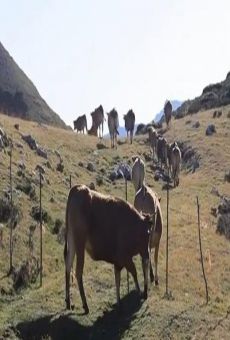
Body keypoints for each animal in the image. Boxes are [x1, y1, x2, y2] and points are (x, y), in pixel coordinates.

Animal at [63, 186, 154, 314]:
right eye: (148, 233)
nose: (147, 254)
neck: (133, 224)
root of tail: (78, 188)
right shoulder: (125, 257)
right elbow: (134, 273)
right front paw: (139, 293)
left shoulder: (118, 262)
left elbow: (117, 280)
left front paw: (119, 303)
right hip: (79, 242)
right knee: (78, 271)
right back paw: (85, 305)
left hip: (71, 240)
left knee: (68, 264)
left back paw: (68, 302)